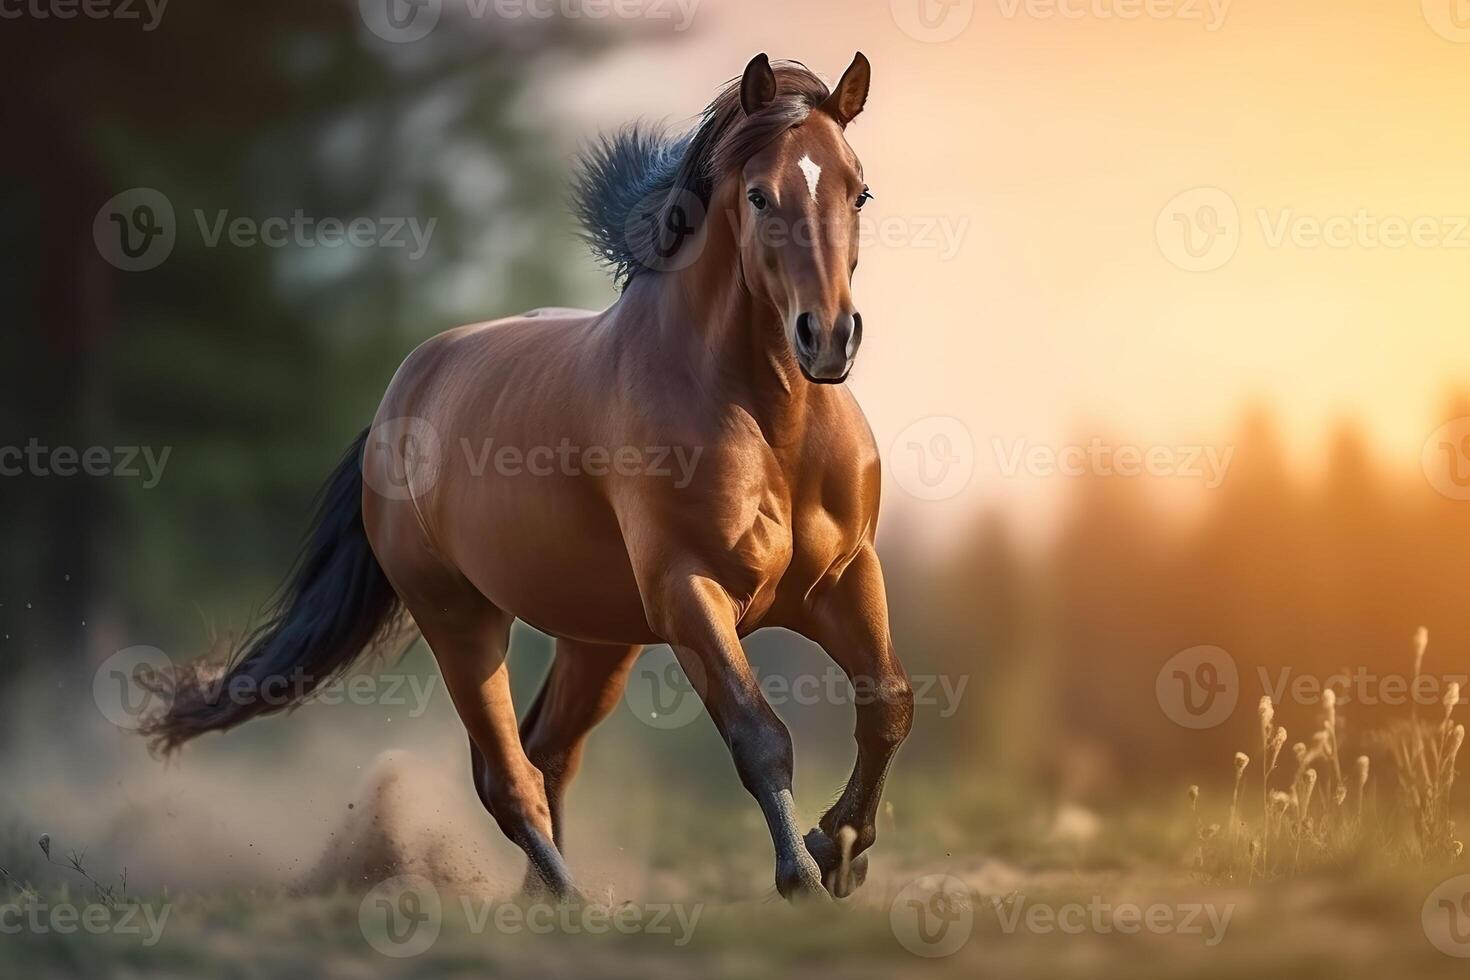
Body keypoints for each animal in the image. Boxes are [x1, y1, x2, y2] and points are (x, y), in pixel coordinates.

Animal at [146, 49, 905, 899]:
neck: (770, 426)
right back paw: (568, 901)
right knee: (505, 776)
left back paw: (550, 897)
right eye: (758, 194)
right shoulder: (690, 592)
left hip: (597, 637)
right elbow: (757, 733)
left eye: (858, 189)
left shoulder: (844, 576)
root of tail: (399, 399)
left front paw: (839, 848)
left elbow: (887, 706)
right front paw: (801, 875)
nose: (828, 337)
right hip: (461, 622)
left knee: (548, 751)